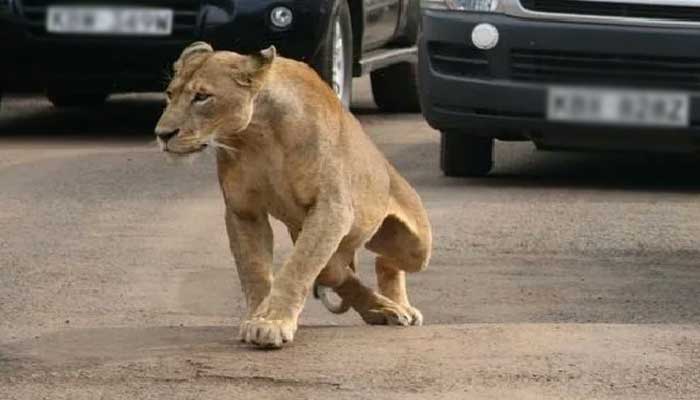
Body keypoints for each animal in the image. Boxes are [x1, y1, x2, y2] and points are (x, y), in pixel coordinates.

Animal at [155, 42, 432, 348]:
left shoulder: (331, 208)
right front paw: (258, 316)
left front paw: (271, 323)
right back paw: (383, 308)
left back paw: (398, 307)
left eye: (202, 97)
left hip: (416, 245)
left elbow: (297, 267)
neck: (257, 134)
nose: (162, 134)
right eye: (170, 94)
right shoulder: (243, 210)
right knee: (339, 269)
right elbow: (254, 269)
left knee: (384, 262)